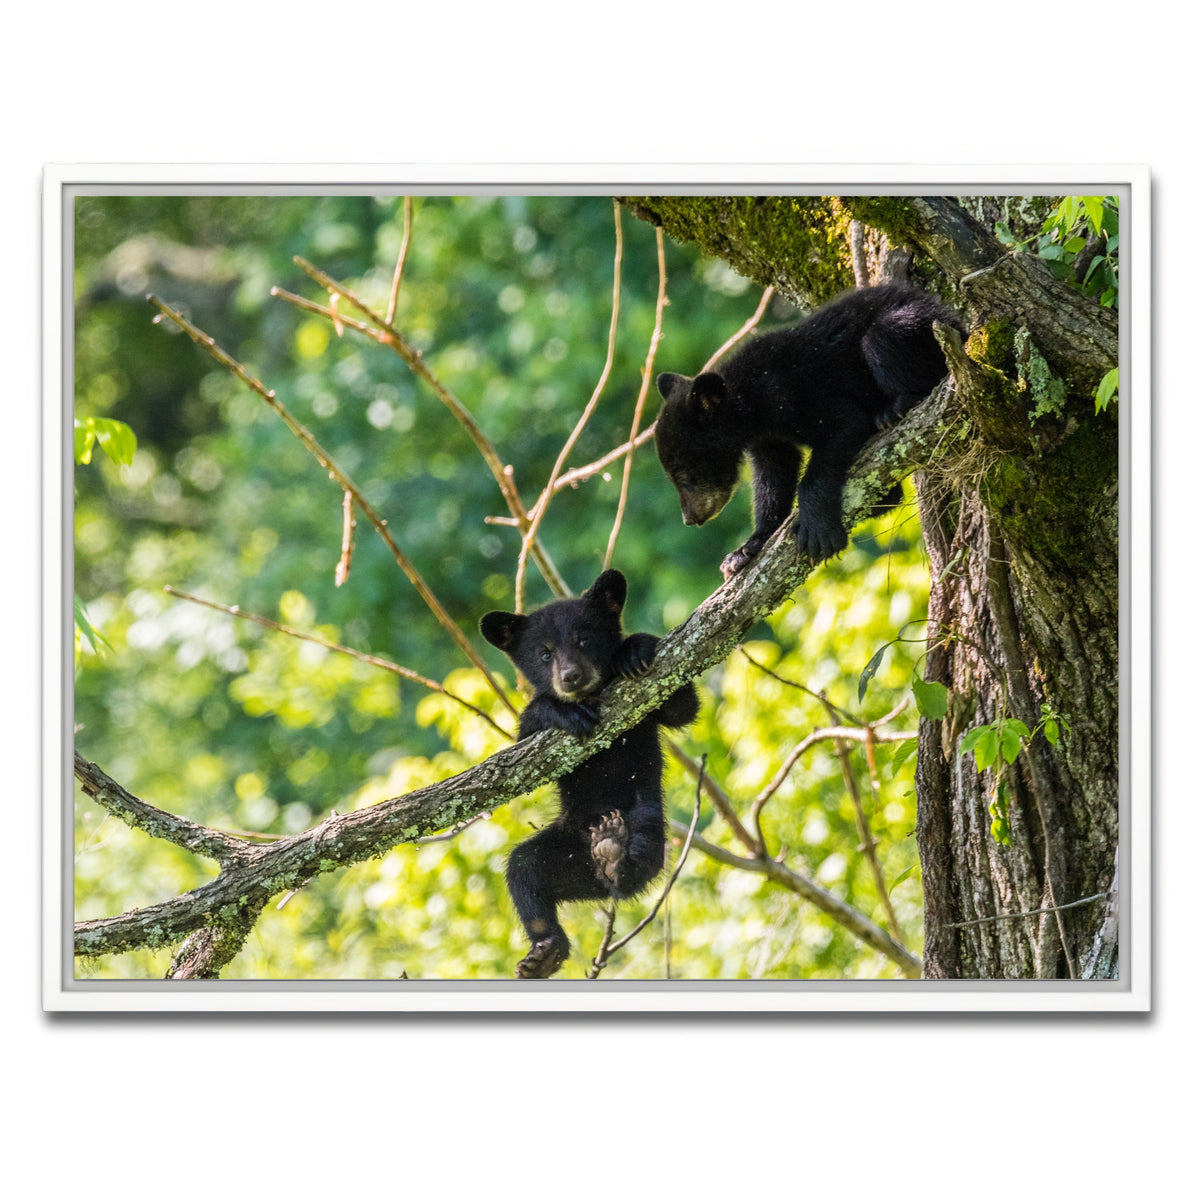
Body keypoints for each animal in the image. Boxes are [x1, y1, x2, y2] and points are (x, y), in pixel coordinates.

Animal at [479, 569, 700, 979]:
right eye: (544, 652)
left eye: (584, 638)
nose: (571, 676)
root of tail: (593, 876)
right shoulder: (528, 744)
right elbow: (524, 744)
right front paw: (562, 711)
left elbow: (681, 707)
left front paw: (633, 650)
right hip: (560, 853)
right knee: (523, 870)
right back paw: (545, 952)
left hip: (645, 816)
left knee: (642, 853)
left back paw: (615, 854)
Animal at [654, 283, 966, 579]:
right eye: (672, 475)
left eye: (684, 474)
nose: (690, 517)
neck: (750, 404)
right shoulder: (768, 438)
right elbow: (774, 474)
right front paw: (746, 548)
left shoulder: (793, 395)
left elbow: (843, 423)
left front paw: (817, 529)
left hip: (919, 328)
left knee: (883, 337)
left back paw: (894, 408)